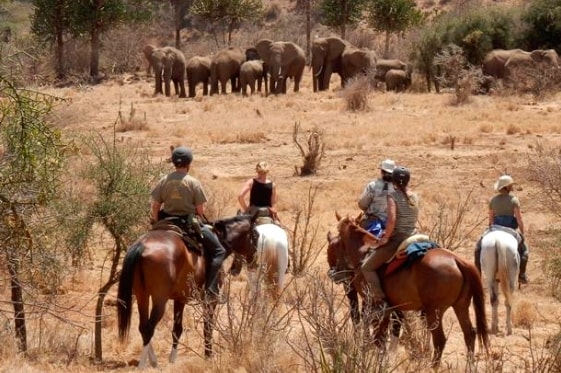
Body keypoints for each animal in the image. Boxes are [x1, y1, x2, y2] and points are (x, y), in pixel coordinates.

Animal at [118, 214, 254, 368]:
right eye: (255, 235)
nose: (253, 259)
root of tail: (141, 246)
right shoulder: (210, 302)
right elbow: (208, 327)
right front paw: (208, 356)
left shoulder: (180, 299)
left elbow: (177, 329)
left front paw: (172, 360)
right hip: (159, 300)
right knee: (148, 328)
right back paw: (144, 365)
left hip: (142, 295)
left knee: (143, 326)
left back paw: (153, 360)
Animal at [326, 214, 488, 364]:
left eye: (333, 248)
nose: (334, 274)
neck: (362, 252)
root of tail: (457, 260)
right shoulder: (392, 307)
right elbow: (388, 332)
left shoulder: (372, 302)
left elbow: (377, 334)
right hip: (461, 306)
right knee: (470, 334)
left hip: (434, 312)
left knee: (440, 340)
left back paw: (432, 367)